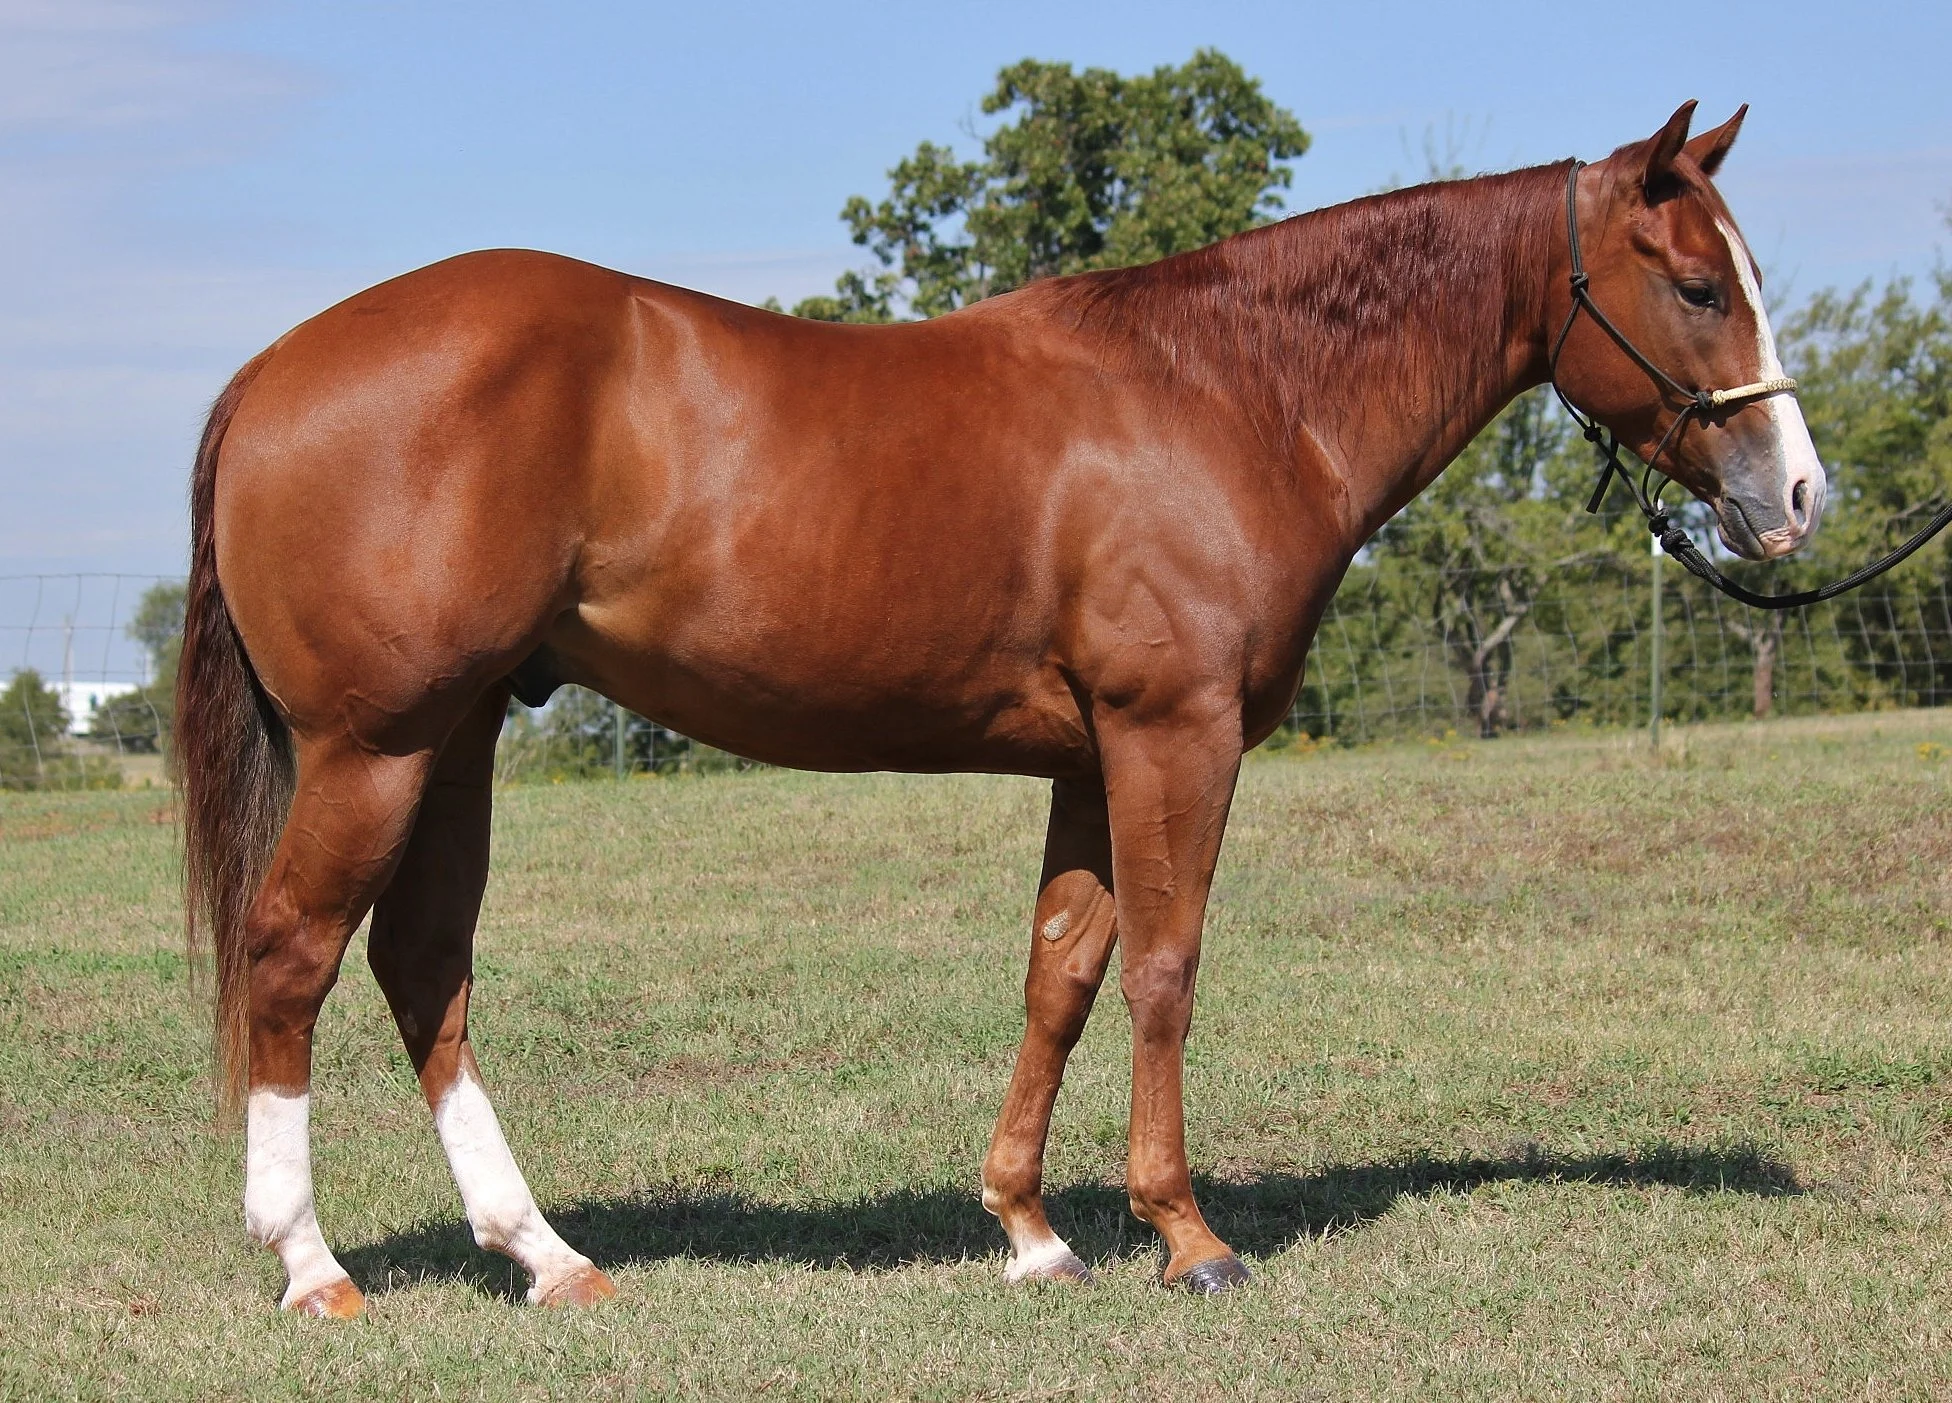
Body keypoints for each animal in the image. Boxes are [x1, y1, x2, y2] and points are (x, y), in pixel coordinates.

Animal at [175, 100, 1825, 1314]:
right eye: (1696, 284)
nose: (1797, 494)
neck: (1229, 393)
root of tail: (272, 367)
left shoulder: (1092, 759)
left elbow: (1062, 972)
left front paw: (1032, 1227)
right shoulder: (1174, 734)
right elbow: (1164, 965)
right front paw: (1187, 1234)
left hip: (455, 740)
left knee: (422, 968)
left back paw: (547, 1253)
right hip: (377, 746)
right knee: (293, 952)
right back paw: (311, 1265)